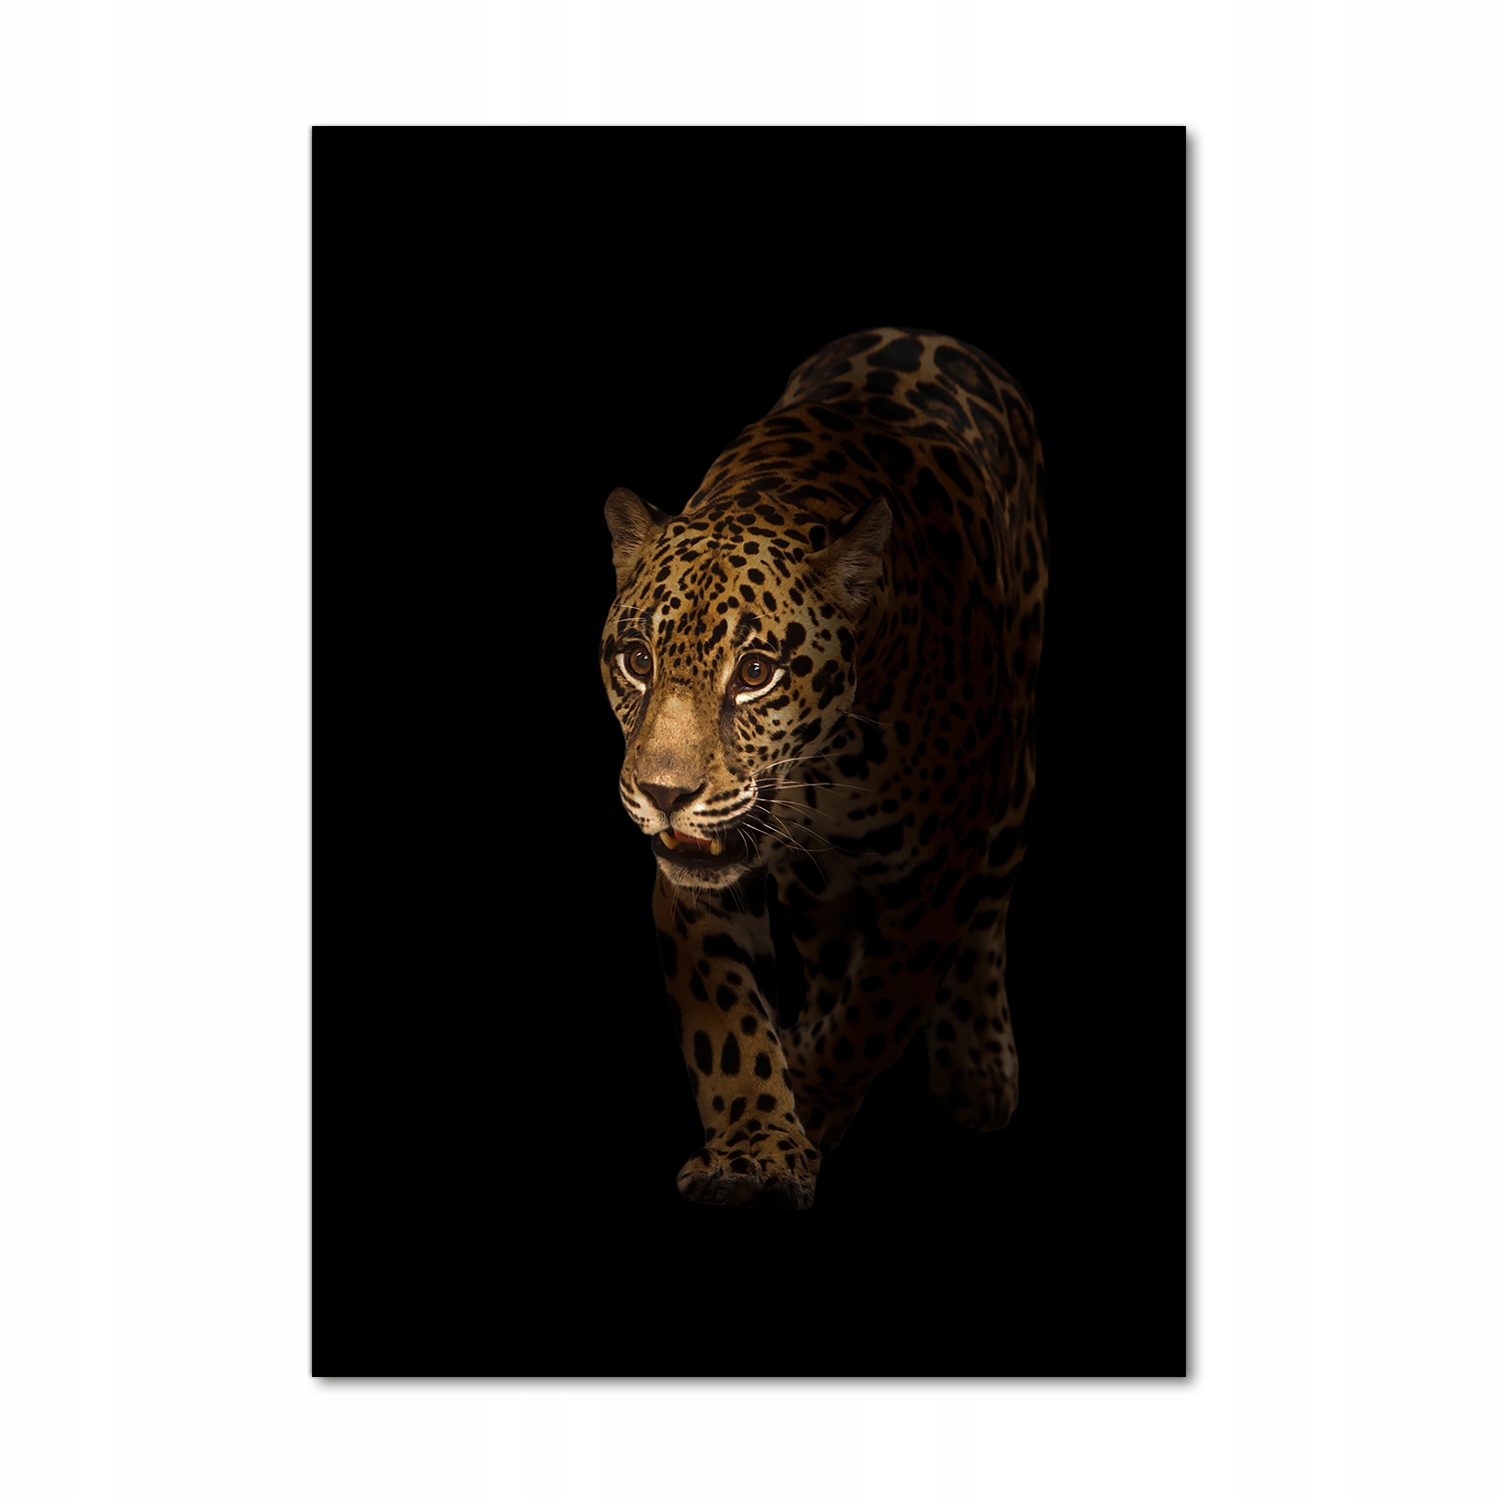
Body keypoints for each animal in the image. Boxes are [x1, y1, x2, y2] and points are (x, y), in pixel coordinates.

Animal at [600, 327, 1047, 1209]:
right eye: (636, 660)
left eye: (755, 673)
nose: (665, 794)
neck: (824, 769)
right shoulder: (698, 881)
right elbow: (728, 1025)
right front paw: (755, 1149)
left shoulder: (936, 873)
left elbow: (878, 1011)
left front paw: (809, 1096)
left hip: (1011, 773)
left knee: (986, 914)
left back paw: (977, 1060)